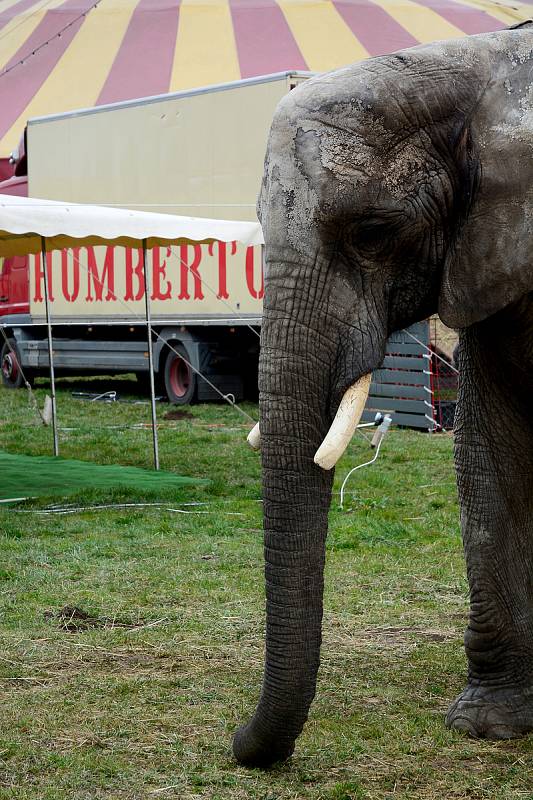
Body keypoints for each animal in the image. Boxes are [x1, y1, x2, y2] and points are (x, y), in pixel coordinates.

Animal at [233, 21, 533, 764]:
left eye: (371, 231)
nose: (238, 743)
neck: (482, 71)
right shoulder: (485, 259)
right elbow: (491, 455)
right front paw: (487, 724)